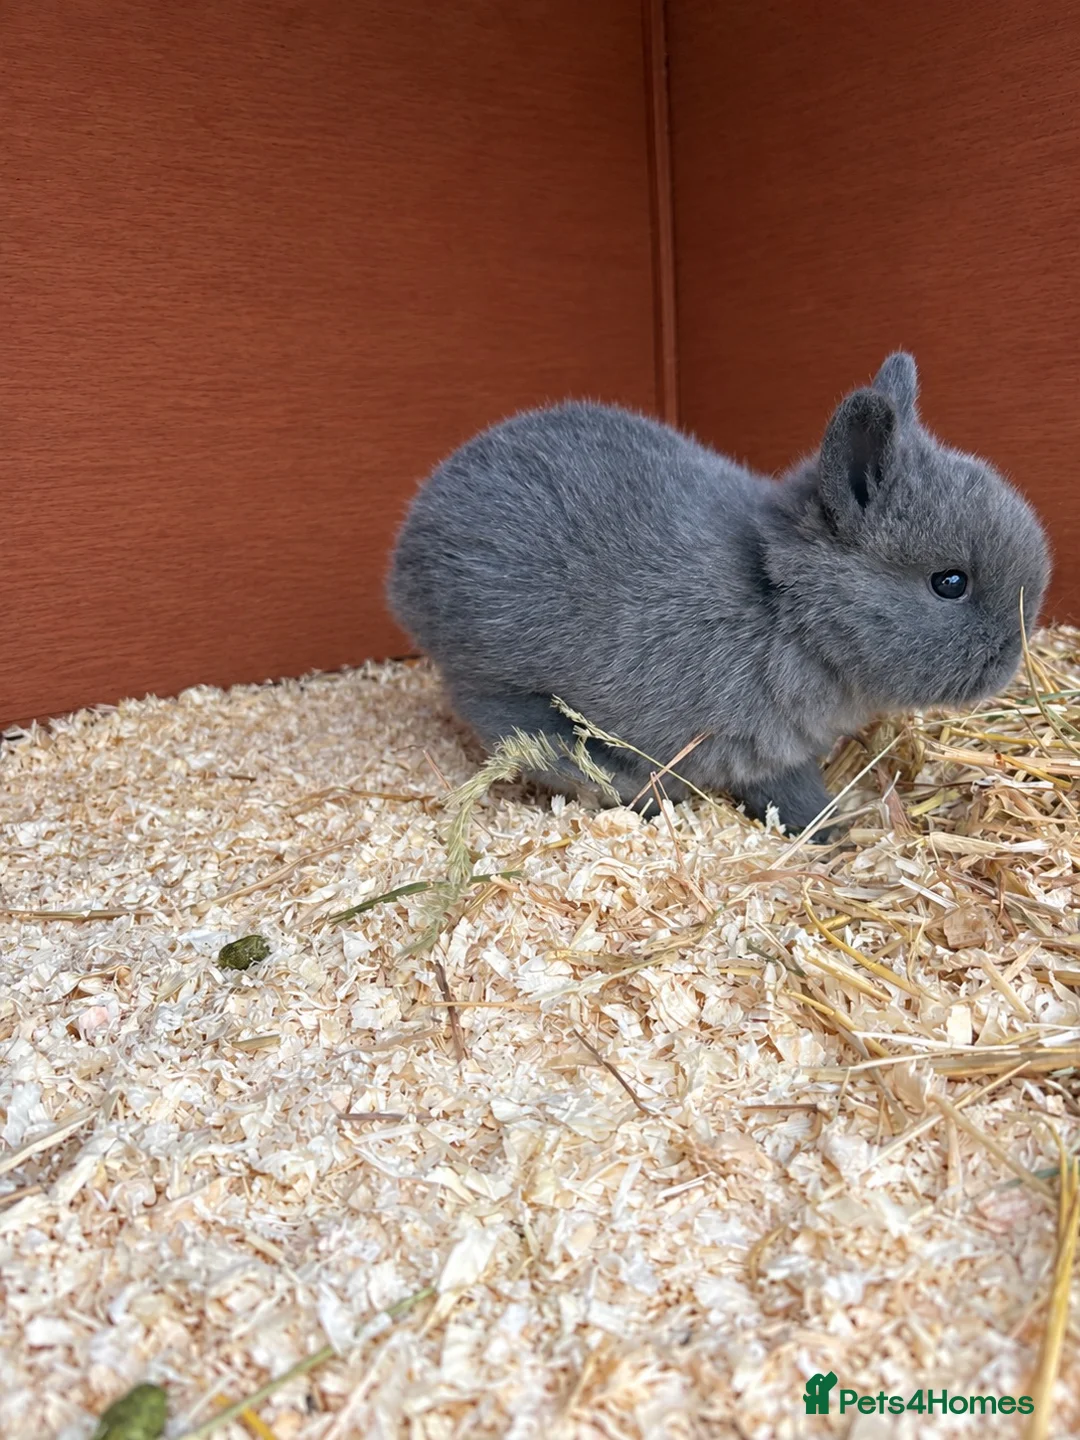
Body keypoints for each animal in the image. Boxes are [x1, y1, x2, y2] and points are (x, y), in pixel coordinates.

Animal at [387, 353, 1050, 840]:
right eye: (949, 583)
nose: (1011, 659)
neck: (784, 605)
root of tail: (407, 558)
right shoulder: (760, 750)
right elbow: (790, 796)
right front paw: (829, 832)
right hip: (496, 683)